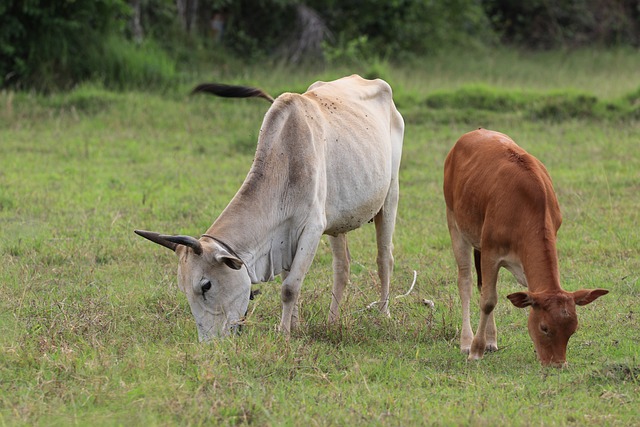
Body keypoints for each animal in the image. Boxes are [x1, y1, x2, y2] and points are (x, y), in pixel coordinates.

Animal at [136, 73, 404, 342]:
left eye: (206, 285)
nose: (210, 344)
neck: (285, 160)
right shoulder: (286, 238)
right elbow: (292, 280)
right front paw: (294, 326)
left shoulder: (312, 229)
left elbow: (289, 288)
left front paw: (284, 333)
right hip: (338, 222)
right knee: (342, 268)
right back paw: (332, 322)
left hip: (390, 194)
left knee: (384, 258)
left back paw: (384, 314)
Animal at [442, 129, 608, 366]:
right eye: (544, 327)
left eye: (573, 330)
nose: (558, 364)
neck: (525, 208)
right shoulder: (491, 252)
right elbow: (488, 301)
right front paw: (475, 350)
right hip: (454, 222)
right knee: (465, 282)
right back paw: (466, 341)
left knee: (481, 284)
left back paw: (491, 340)